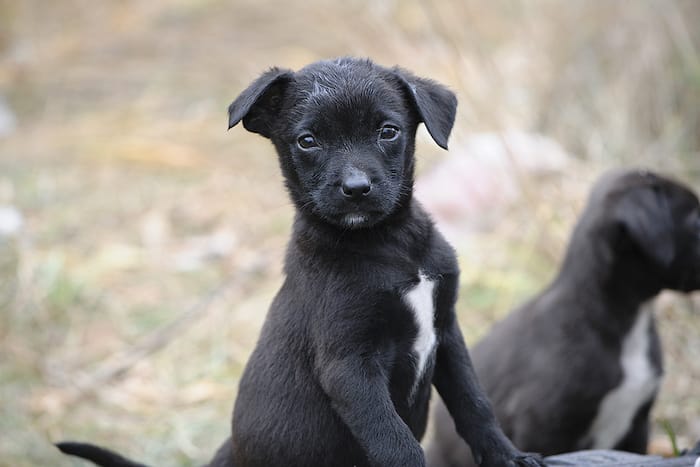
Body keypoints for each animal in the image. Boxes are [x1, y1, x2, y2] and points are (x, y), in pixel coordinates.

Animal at [57, 58, 544, 467]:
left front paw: (510, 457)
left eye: (388, 131)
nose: (356, 189)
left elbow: (474, 404)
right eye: (307, 141)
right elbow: (395, 442)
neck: (386, 244)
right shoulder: (349, 365)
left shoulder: (446, 331)